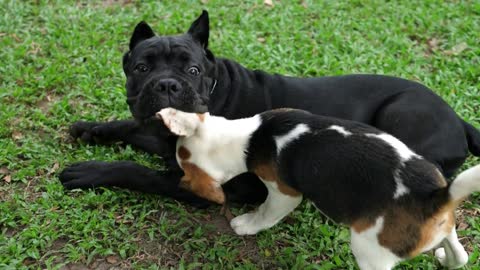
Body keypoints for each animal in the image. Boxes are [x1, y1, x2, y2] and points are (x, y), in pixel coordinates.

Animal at [60, 9, 480, 206]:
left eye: (192, 70)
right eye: (142, 68)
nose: (166, 85)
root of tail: (459, 120)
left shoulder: (216, 184)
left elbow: (140, 172)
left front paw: (91, 171)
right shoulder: (158, 134)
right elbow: (133, 128)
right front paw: (92, 128)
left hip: (402, 114)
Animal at [156, 106, 478, 268]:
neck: (250, 137)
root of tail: (434, 197)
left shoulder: (284, 193)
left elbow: (266, 213)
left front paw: (245, 224)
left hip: (370, 251)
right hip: (444, 225)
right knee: (459, 254)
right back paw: (446, 258)